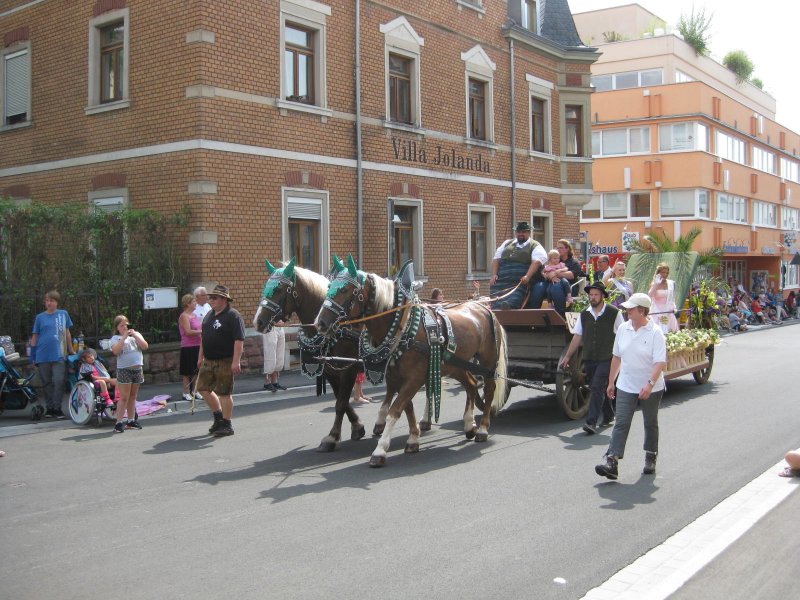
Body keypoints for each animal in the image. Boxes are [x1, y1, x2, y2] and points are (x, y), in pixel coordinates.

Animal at [312, 255, 506, 466]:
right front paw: (413, 439)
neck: (402, 327)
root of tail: (483, 307)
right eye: (329, 287)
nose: (320, 323)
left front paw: (380, 449)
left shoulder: (413, 378)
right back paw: (469, 425)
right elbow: (407, 408)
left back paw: (482, 429)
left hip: (487, 362)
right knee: (471, 385)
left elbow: (395, 410)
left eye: (346, 290)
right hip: (455, 364)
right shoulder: (397, 378)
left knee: (489, 389)